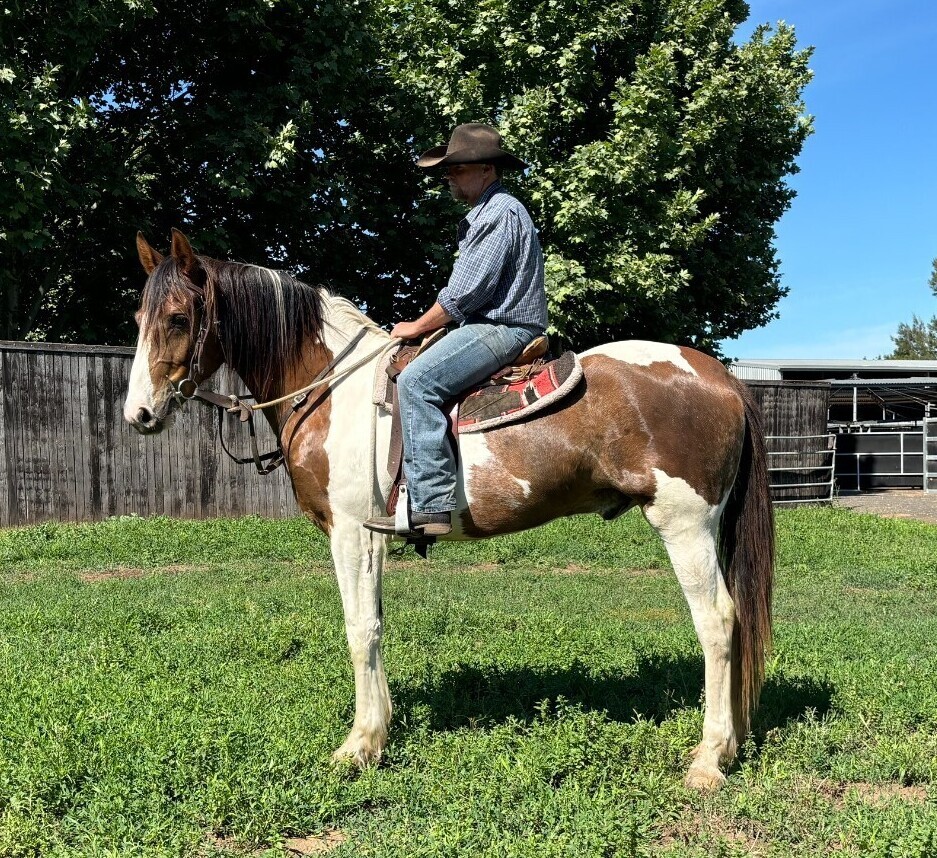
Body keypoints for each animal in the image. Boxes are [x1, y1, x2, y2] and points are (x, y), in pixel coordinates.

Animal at [123, 229, 774, 790]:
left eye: (178, 318)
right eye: (138, 320)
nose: (139, 415)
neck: (332, 387)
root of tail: (721, 377)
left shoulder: (352, 533)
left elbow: (359, 628)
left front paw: (359, 746)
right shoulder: (372, 538)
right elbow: (376, 624)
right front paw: (380, 730)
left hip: (685, 524)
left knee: (718, 620)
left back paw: (709, 758)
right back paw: (735, 741)